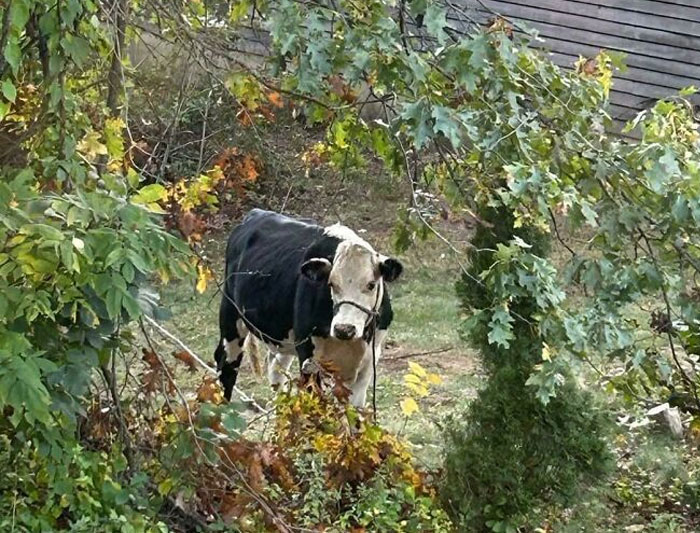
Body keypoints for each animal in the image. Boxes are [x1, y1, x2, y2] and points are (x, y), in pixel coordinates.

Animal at [214, 209, 403, 407]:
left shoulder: (368, 362)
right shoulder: (308, 356)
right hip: (230, 317)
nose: (344, 329)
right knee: (226, 364)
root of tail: (255, 213)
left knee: (276, 368)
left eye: (371, 284)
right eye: (332, 284)